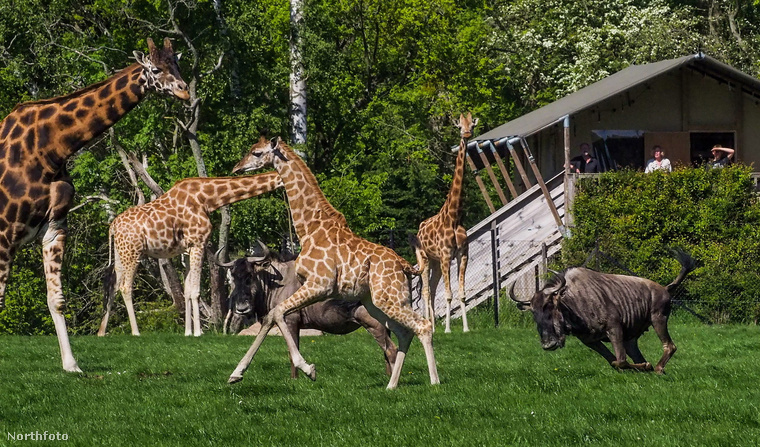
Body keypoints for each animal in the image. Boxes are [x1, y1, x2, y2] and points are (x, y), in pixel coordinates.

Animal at [0, 38, 189, 372]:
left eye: (177, 64)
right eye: (155, 69)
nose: (185, 91)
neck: (50, 150)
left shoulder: (54, 228)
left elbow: (57, 299)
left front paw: (71, 365)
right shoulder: (6, 230)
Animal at [229, 138, 436, 390]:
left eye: (256, 153)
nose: (237, 168)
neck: (309, 229)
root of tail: (406, 265)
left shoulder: (320, 285)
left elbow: (277, 313)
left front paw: (308, 369)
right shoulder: (312, 289)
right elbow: (271, 317)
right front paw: (236, 374)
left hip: (389, 299)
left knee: (423, 326)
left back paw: (435, 382)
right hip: (377, 303)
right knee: (404, 333)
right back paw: (391, 386)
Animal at [410, 113, 476, 332]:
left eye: (472, 124)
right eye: (459, 126)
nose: (467, 134)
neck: (454, 217)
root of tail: (419, 229)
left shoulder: (463, 255)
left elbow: (462, 294)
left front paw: (466, 328)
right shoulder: (447, 256)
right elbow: (448, 295)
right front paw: (448, 329)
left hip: (436, 263)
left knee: (430, 289)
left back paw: (433, 326)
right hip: (425, 258)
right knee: (426, 291)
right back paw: (431, 326)